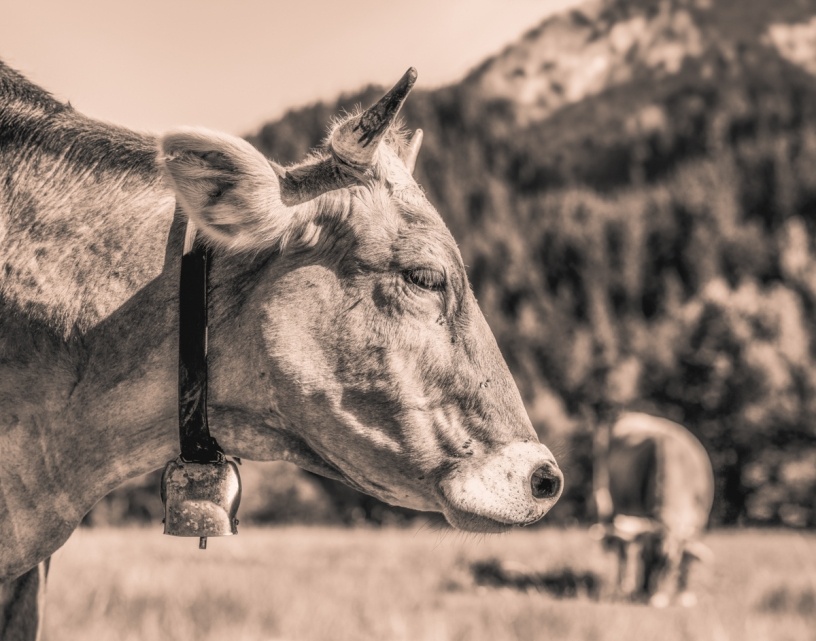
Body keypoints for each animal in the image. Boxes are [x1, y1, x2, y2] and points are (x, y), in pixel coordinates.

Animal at [592, 412, 713, 607]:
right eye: (645, 557)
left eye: (670, 563)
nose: (653, 599)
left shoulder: (700, 519)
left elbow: (688, 556)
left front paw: (685, 594)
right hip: (616, 502)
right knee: (623, 549)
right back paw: (624, 585)